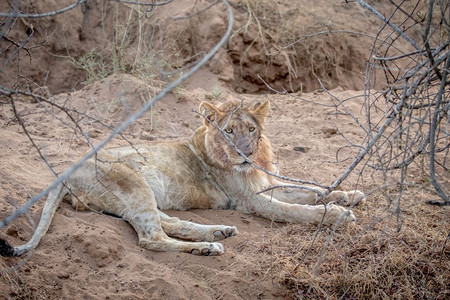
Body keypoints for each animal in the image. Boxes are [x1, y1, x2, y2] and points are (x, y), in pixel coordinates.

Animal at [0, 99, 364, 256]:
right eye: (228, 131)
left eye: (251, 129)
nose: (245, 153)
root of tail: (66, 170)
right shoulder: (250, 200)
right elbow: (296, 210)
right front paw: (339, 215)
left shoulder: (263, 184)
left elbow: (307, 189)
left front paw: (349, 195)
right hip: (132, 183)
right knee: (152, 238)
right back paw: (209, 246)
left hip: (134, 195)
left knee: (167, 222)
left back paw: (219, 231)